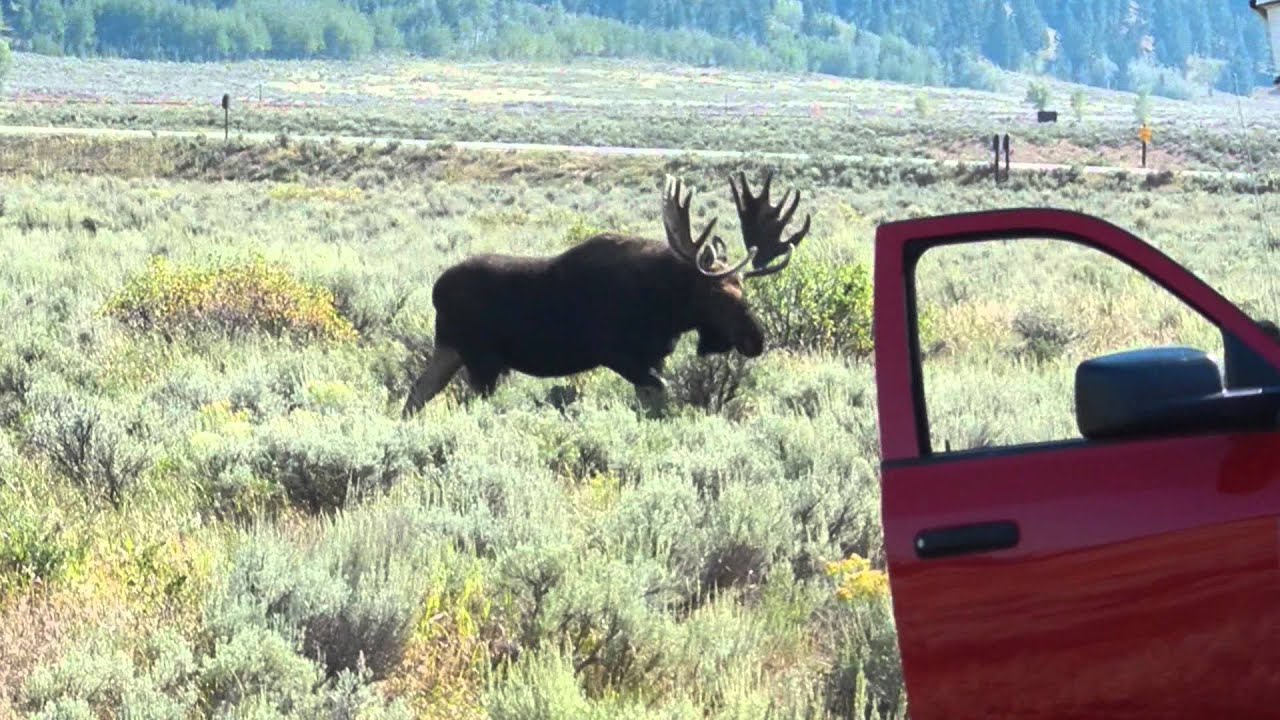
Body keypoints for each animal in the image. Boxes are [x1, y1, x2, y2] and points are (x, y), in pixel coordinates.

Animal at [400, 170, 811, 417]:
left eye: (743, 288)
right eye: (717, 293)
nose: (756, 339)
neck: (667, 308)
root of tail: (436, 290)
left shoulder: (652, 358)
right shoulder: (618, 354)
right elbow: (661, 394)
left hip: (450, 350)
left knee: (417, 394)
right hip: (481, 360)